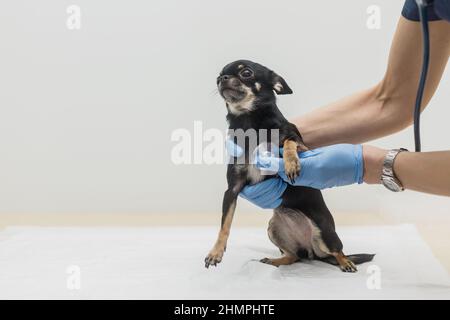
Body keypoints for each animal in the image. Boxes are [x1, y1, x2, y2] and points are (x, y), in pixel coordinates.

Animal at [206, 58, 374, 272]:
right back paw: (276, 261)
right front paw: (215, 252)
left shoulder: (301, 144)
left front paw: (291, 164)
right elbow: (224, 225)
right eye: (218, 76)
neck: (248, 121)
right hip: (274, 228)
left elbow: (288, 142)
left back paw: (346, 262)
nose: (223, 79)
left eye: (246, 73)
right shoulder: (232, 189)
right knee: (294, 256)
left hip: (325, 232)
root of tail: (312, 251)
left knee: (338, 251)